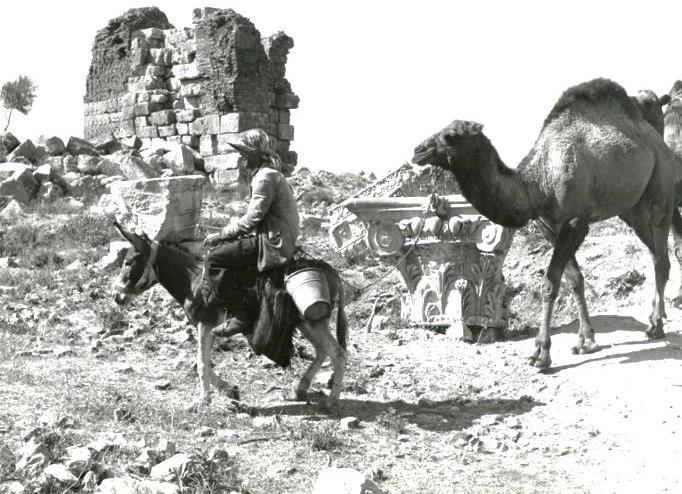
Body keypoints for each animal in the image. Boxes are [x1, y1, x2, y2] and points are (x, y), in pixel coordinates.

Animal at [410, 78, 676, 370]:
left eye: (452, 135)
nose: (418, 151)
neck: (536, 184)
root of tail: (661, 145)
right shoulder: (548, 225)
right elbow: (574, 279)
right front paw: (586, 341)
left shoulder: (575, 221)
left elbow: (550, 282)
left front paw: (540, 353)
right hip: (632, 208)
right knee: (654, 252)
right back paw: (654, 318)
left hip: (660, 188)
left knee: (662, 256)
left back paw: (656, 326)